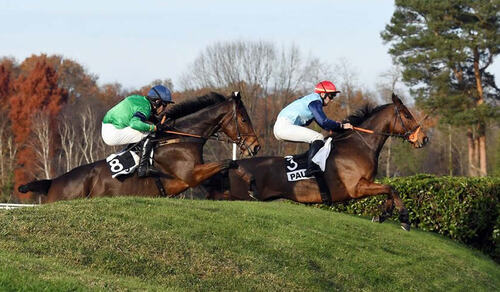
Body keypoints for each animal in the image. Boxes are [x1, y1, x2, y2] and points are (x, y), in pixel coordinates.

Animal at [18, 92, 262, 202]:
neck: (182, 138)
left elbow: (227, 167)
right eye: (243, 119)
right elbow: (228, 162)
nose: (256, 146)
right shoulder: (190, 174)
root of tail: (54, 182)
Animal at [205, 93, 428, 230]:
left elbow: (389, 190)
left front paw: (382, 215)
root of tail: (233, 165)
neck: (360, 145)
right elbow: (391, 188)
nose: (424, 139)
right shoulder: (356, 187)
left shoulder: (365, 184)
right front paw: (404, 219)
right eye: (407, 115)